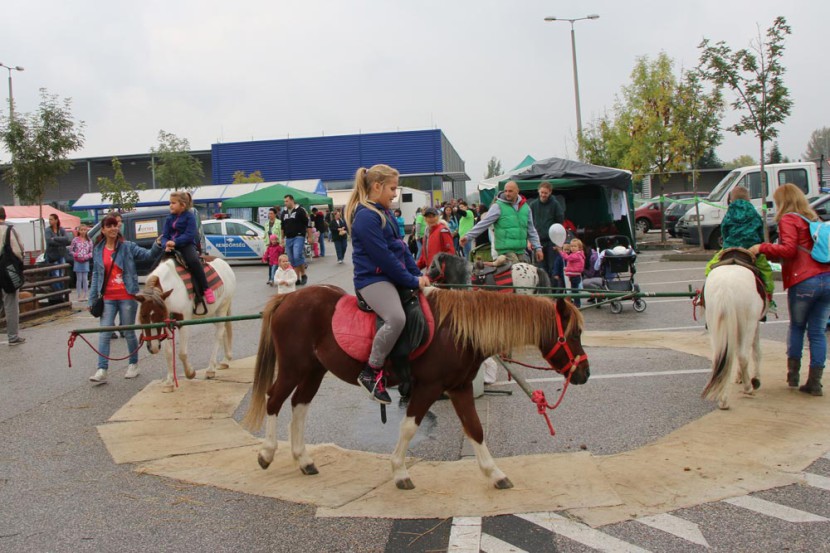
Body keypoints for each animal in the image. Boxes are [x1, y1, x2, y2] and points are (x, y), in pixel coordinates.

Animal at [135, 256, 236, 390]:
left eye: (160, 316)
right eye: (143, 315)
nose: (154, 348)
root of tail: (224, 263)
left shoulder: (182, 322)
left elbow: (182, 353)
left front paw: (190, 373)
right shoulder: (167, 324)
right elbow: (168, 352)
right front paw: (169, 382)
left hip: (222, 307)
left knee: (219, 334)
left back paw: (210, 369)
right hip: (213, 314)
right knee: (224, 329)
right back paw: (225, 361)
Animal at [242, 284, 592, 488]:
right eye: (574, 334)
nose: (585, 374)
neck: (457, 331)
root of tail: (288, 297)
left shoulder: (460, 388)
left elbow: (475, 429)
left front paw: (495, 473)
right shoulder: (429, 387)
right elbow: (410, 427)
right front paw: (399, 471)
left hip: (314, 370)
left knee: (299, 406)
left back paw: (304, 460)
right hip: (293, 367)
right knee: (274, 400)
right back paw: (267, 453)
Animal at [704, 252, 768, 408]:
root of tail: (725, 287)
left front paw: (739, 377)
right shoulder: (755, 323)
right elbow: (756, 351)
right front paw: (755, 379)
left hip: (714, 323)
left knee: (719, 357)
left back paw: (723, 399)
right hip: (748, 322)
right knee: (743, 355)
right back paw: (748, 387)